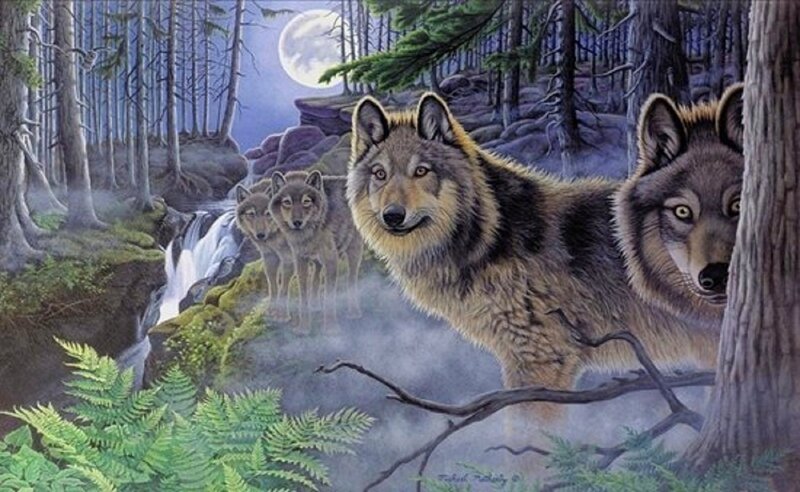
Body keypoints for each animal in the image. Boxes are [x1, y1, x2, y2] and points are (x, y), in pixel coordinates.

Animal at [235, 180, 294, 321]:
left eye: (268, 213)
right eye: (251, 214)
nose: (260, 235)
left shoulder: (289, 258)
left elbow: (284, 287)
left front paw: (282, 315)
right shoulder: (269, 257)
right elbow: (273, 285)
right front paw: (270, 310)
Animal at [270, 170, 363, 331]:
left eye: (306, 201)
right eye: (287, 202)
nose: (297, 222)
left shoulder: (331, 260)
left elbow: (329, 297)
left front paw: (331, 327)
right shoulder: (300, 260)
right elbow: (303, 294)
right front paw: (303, 328)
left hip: (353, 251)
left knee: (352, 279)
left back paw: (354, 312)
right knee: (316, 277)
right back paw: (315, 306)